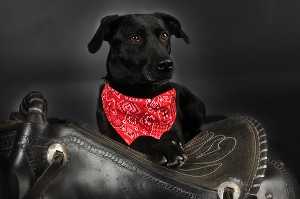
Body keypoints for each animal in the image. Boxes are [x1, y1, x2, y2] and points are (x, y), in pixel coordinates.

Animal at [88, 12, 205, 167]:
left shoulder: (173, 124)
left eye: (164, 35)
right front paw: (167, 149)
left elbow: (171, 133)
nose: (166, 65)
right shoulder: (115, 139)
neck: (143, 95)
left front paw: (172, 141)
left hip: (195, 108)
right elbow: (140, 138)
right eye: (134, 38)